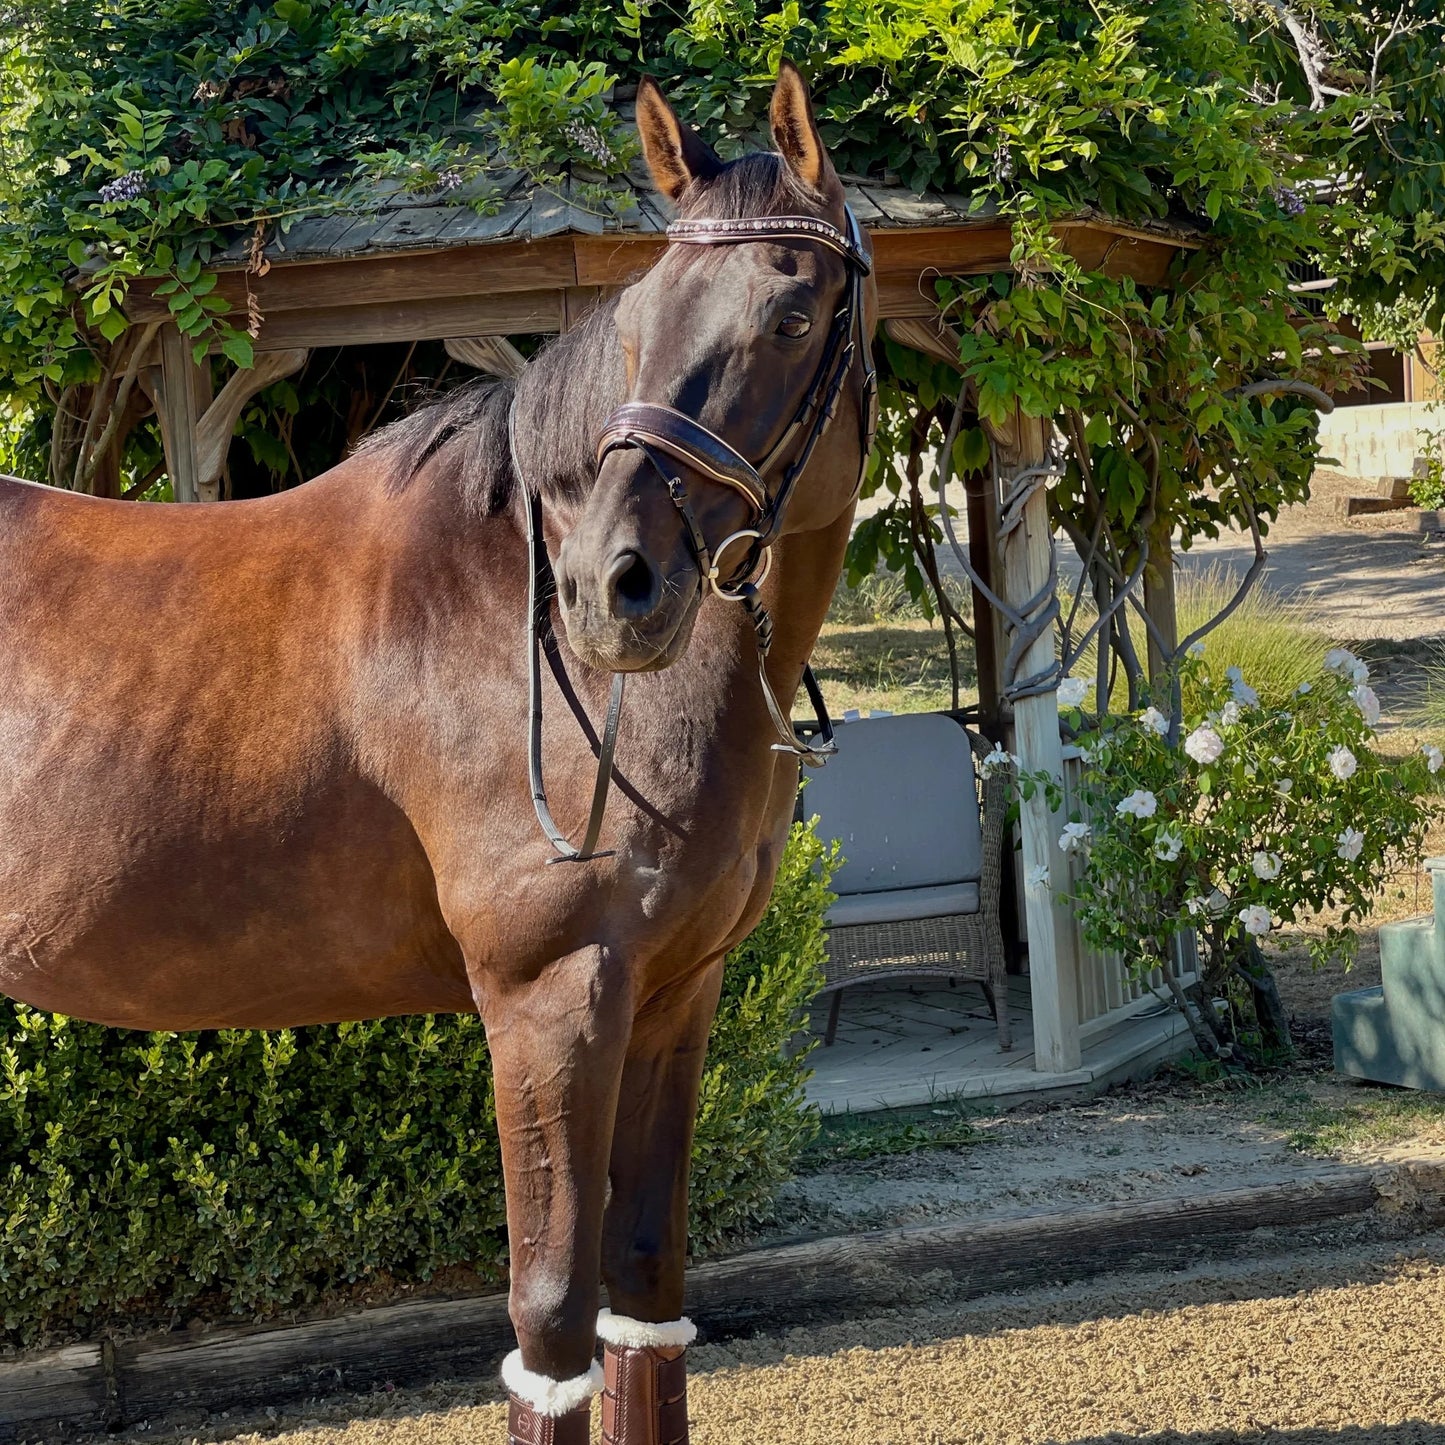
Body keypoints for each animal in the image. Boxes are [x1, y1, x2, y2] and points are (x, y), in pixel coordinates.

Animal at [0, 65, 872, 1445]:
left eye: (791, 314)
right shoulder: (548, 998)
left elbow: (643, 1295)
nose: (614, 587)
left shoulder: (677, 992)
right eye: (641, 324)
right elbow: (551, 1326)